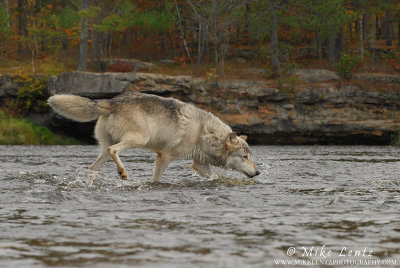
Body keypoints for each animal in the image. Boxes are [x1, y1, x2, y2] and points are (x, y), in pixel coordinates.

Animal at [47, 92, 260, 182]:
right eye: (245, 157)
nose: (258, 173)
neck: (205, 133)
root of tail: (111, 101)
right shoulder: (164, 157)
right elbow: (156, 179)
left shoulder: (200, 164)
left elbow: (214, 176)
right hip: (137, 140)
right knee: (113, 150)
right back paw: (123, 173)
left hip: (106, 151)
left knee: (92, 168)